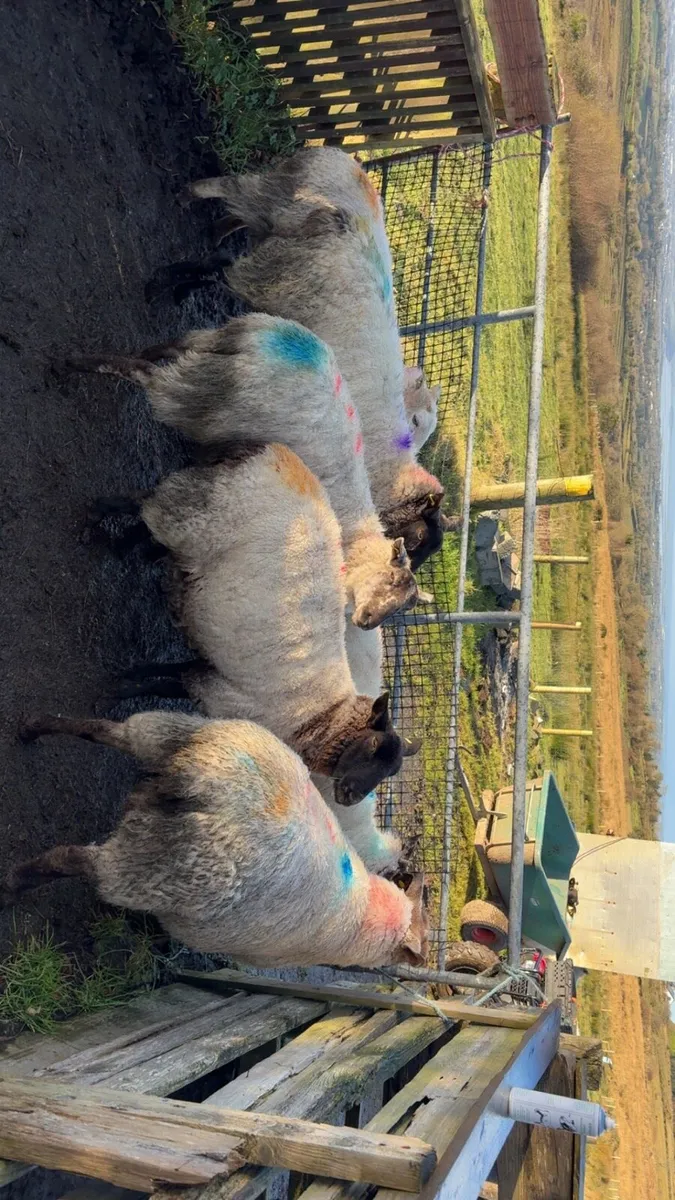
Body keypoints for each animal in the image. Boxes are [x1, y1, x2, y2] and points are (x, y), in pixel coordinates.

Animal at [5, 712, 428, 969]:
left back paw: (31, 727)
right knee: (74, 860)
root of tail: (211, 787)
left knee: (104, 730)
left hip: (175, 736)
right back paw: (12, 884)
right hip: (177, 868)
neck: (366, 914)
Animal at [68, 314, 421, 629]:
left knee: (165, 347)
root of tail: (278, 341)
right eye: (392, 578)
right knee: (143, 373)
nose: (367, 621)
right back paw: (71, 364)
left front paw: (127, 545)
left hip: (212, 346)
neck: (352, 530)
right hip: (202, 393)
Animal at [105, 442, 420, 802]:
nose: (350, 796)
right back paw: (97, 523)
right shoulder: (222, 694)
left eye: (391, 771)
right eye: (373, 744)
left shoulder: (214, 677)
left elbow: (164, 673)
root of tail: (273, 452)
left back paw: (115, 542)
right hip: (190, 514)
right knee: (140, 502)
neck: (322, 717)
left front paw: (124, 680)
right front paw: (117, 689)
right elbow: (159, 683)